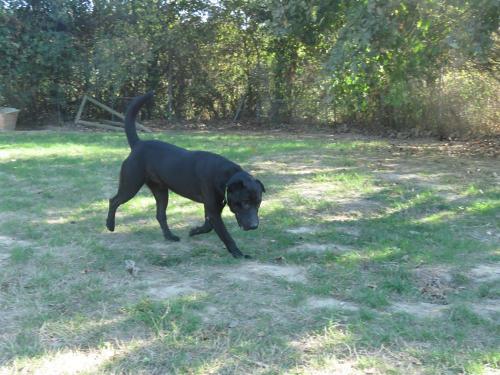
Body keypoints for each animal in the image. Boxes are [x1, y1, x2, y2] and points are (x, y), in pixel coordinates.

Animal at [106, 92, 266, 260]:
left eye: (258, 203)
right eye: (245, 202)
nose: (254, 226)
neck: (225, 177)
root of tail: (138, 144)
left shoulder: (212, 208)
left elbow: (208, 226)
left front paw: (194, 231)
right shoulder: (213, 210)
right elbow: (225, 235)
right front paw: (238, 253)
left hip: (161, 191)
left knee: (160, 215)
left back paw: (170, 236)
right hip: (130, 185)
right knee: (114, 201)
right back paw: (110, 225)